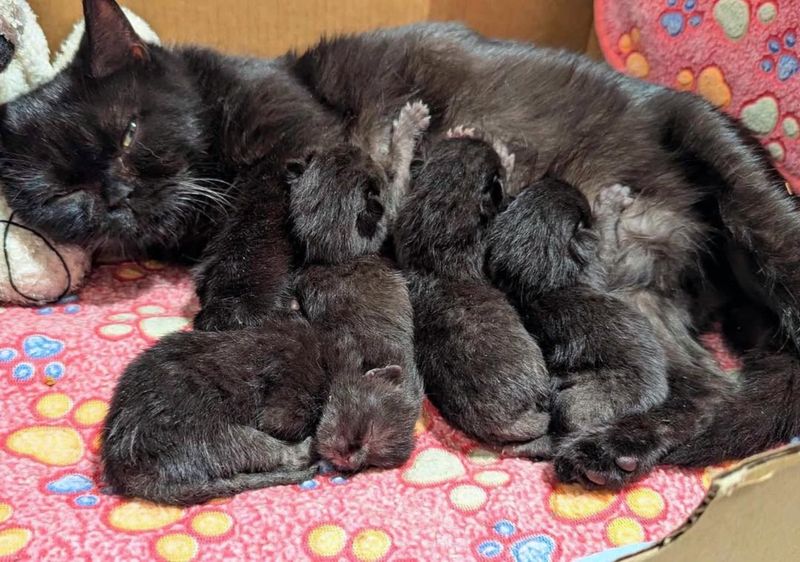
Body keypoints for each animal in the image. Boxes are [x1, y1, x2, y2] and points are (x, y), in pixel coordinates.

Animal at [488, 179, 668, 456]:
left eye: (528, 189)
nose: (561, 180)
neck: (540, 282)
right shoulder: (598, 268)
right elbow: (607, 246)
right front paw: (611, 202)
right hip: (580, 402)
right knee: (565, 431)